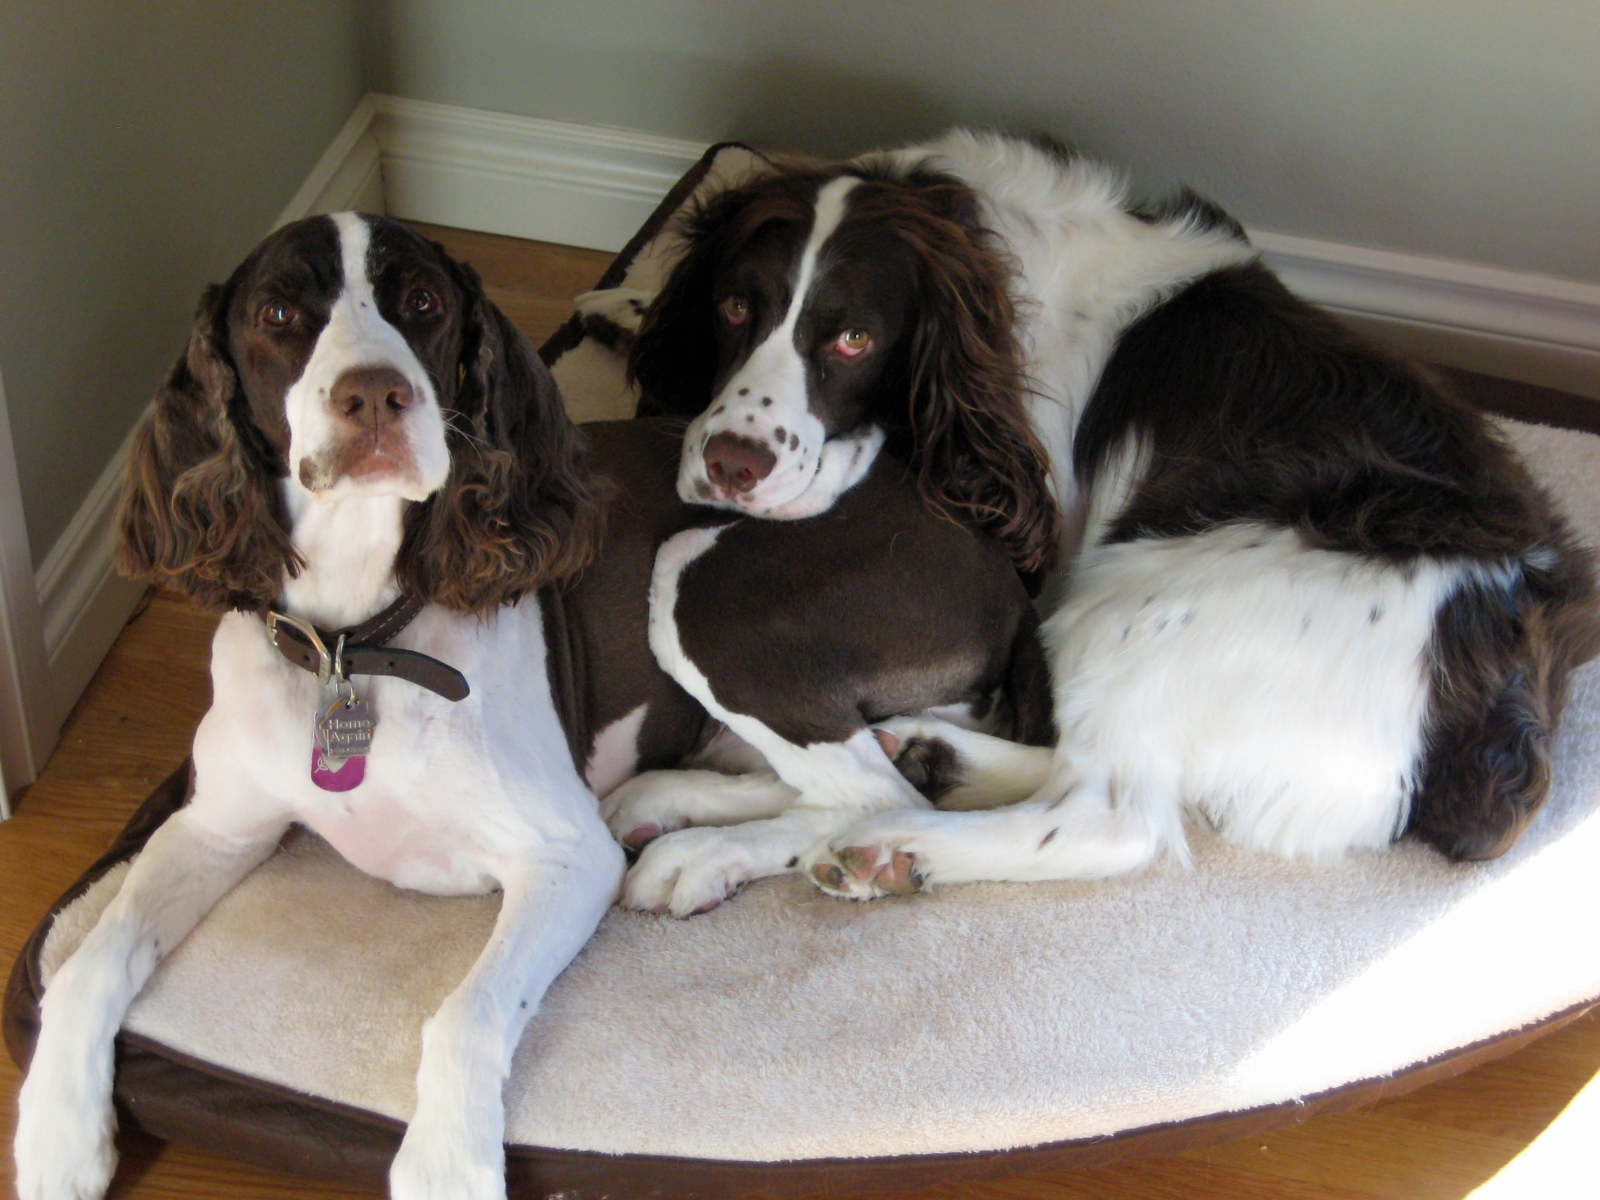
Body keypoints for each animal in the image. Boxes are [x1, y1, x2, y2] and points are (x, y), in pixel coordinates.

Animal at [15, 211, 1049, 1196]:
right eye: (277, 314)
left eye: (423, 304)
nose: (375, 396)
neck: (355, 642)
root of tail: (990, 550)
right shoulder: (217, 826)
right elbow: (88, 960)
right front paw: (56, 1134)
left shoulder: (562, 858)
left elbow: (464, 1014)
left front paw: (444, 1168)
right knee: (842, 772)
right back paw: (674, 810)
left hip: (706, 584)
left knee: (878, 795)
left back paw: (723, 849)